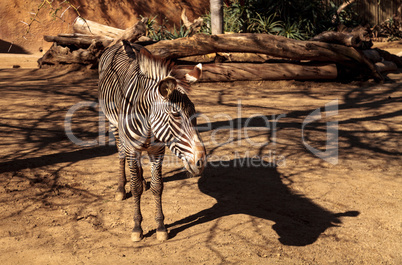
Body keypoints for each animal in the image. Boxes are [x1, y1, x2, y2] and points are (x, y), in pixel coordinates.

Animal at [96, 40, 204, 240]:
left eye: (194, 111)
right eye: (175, 114)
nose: (201, 161)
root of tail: (123, 42)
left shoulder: (157, 150)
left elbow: (157, 186)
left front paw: (161, 227)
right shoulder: (132, 148)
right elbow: (135, 188)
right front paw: (137, 227)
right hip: (114, 126)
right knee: (121, 155)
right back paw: (121, 189)